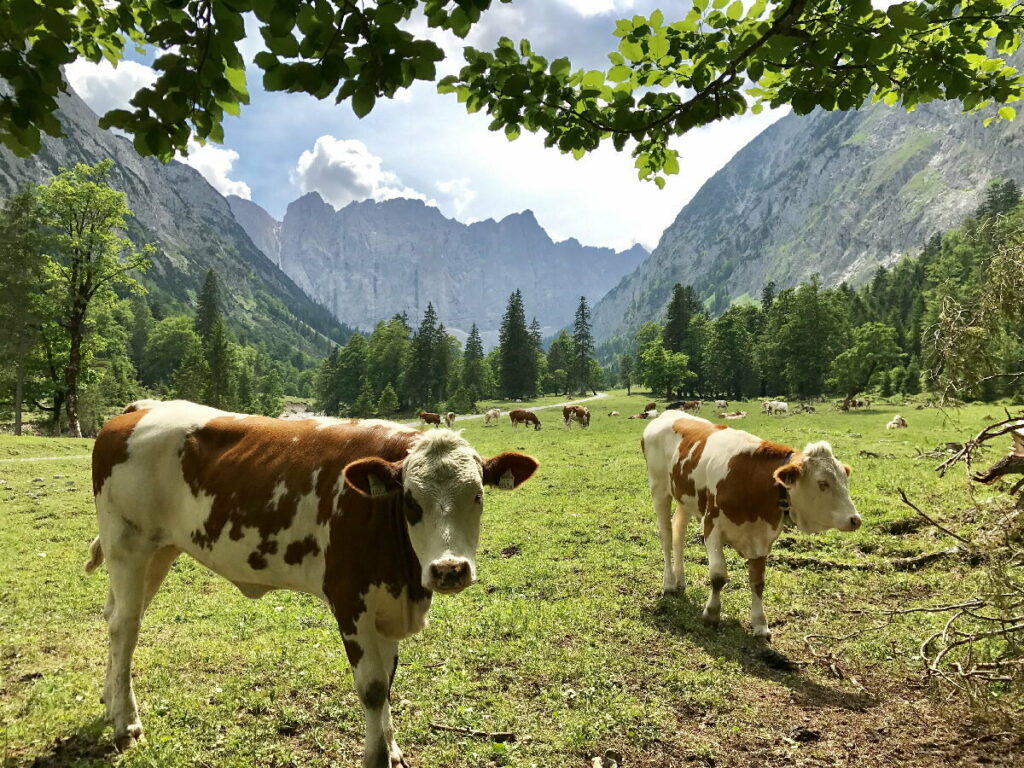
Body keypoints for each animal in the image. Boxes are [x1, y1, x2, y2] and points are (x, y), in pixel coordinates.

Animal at [86, 403, 544, 765]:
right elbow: (373, 688)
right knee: (126, 626)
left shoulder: (388, 606)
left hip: (159, 551)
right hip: (127, 543)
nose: (450, 569)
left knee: (115, 617)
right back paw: (126, 723)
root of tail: (142, 408)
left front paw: (393, 750)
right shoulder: (349, 598)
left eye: (477, 495)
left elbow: (389, 681)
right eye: (411, 501)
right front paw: (376, 757)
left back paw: (110, 702)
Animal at [643, 411, 860, 638]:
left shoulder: (762, 538)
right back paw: (669, 583)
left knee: (678, 534)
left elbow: (758, 582)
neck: (754, 483)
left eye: (845, 481)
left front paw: (760, 624)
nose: (855, 519)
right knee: (667, 537)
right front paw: (712, 614)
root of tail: (668, 414)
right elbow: (718, 576)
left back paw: (680, 580)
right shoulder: (712, 527)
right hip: (659, 490)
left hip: (685, 499)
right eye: (822, 483)